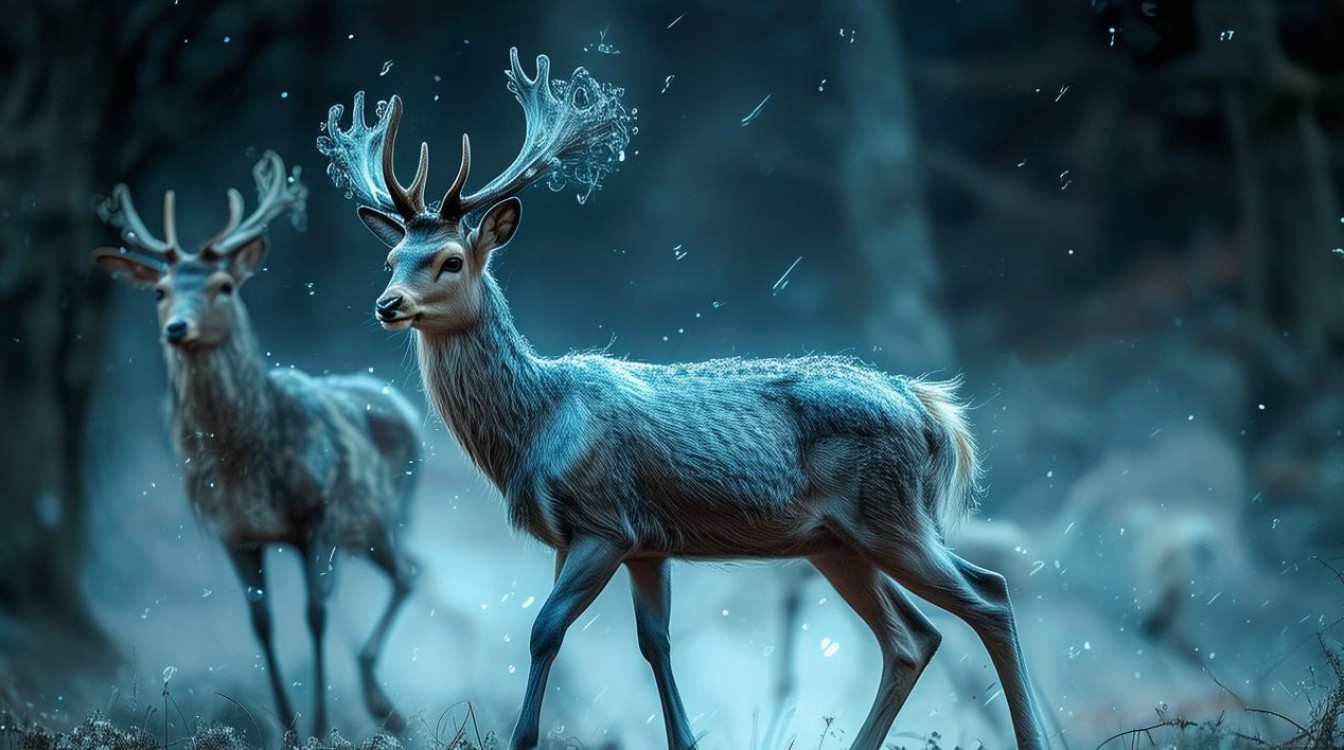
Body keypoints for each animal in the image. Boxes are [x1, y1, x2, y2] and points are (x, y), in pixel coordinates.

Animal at [90, 152, 422, 737]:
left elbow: (315, 615)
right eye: (159, 291)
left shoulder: (318, 519)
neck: (246, 459)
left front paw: (318, 728)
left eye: (225, 285)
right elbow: (261, 622)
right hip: (369, 529)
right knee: (414, 573)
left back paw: (384, 705)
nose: (177, 328)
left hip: (381, 514)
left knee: (407, 576)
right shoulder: (234, 532)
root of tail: (409, 409)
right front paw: (287, 726)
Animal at [317, 49, 1050, 750]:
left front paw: (523, 739)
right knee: (913, 637)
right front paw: (685, 739)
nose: (387, 305)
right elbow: (654, 644)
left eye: (450, 260)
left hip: (890, 515)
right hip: (836, 540)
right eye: (391, 260)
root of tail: (933, 412)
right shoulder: (637, 542)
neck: (536, 422)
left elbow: (544, 630)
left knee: (988, 595)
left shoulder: (604, 523)